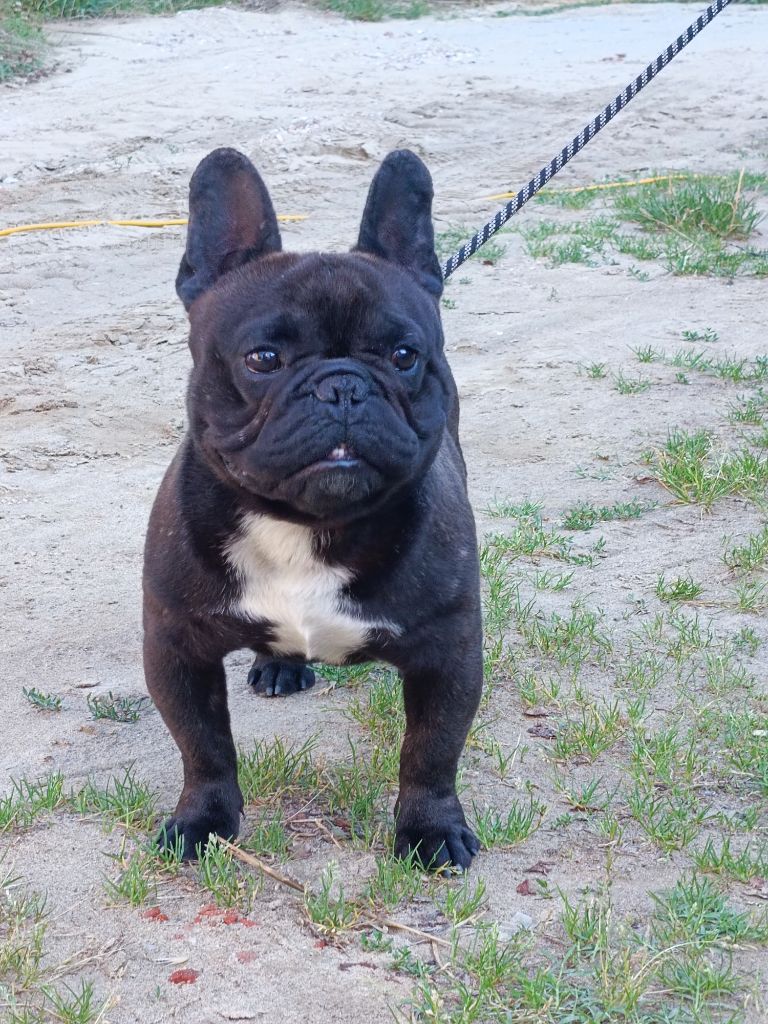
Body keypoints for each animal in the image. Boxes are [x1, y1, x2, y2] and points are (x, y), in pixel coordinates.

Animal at [143, 147, 483, 870]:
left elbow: (431, 751)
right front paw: (203, 820)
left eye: (404, 356)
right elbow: (203, 746)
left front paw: (432, 830)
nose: (343, 387)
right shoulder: (175, 646)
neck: (305, 526)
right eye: (263, 358)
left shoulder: (450, 651)